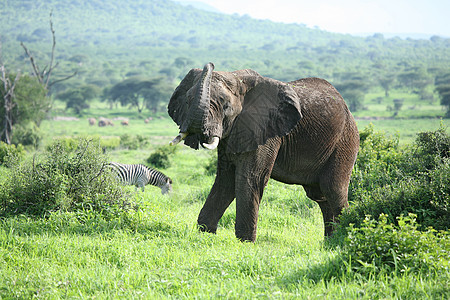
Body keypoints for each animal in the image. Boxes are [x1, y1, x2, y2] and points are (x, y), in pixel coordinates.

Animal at [168, 62, 358, 241]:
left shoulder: (264, 130)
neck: (237, 79)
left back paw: (340, 240)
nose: (210, 64)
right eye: (187, 101)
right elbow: (225, 180)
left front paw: (244, 244)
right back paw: (328, 244)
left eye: (226, 106)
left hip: (345, 141)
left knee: (333, 189)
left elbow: (250, 179)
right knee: (320, 196)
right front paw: (205, 235)